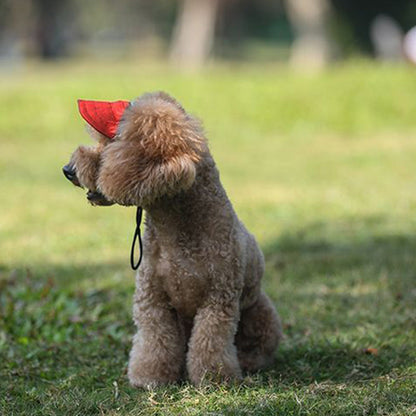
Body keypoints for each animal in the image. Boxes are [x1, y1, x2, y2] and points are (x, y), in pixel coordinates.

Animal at [62, 91, 282, 386]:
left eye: (112, 143)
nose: (68, 169)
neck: (176, 231)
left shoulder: (218, 299)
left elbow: (210, 342)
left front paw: (213, 379)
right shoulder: (152, 298)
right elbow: (155, 341)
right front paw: (149, 377)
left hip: (261, 313)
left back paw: (249, 363)